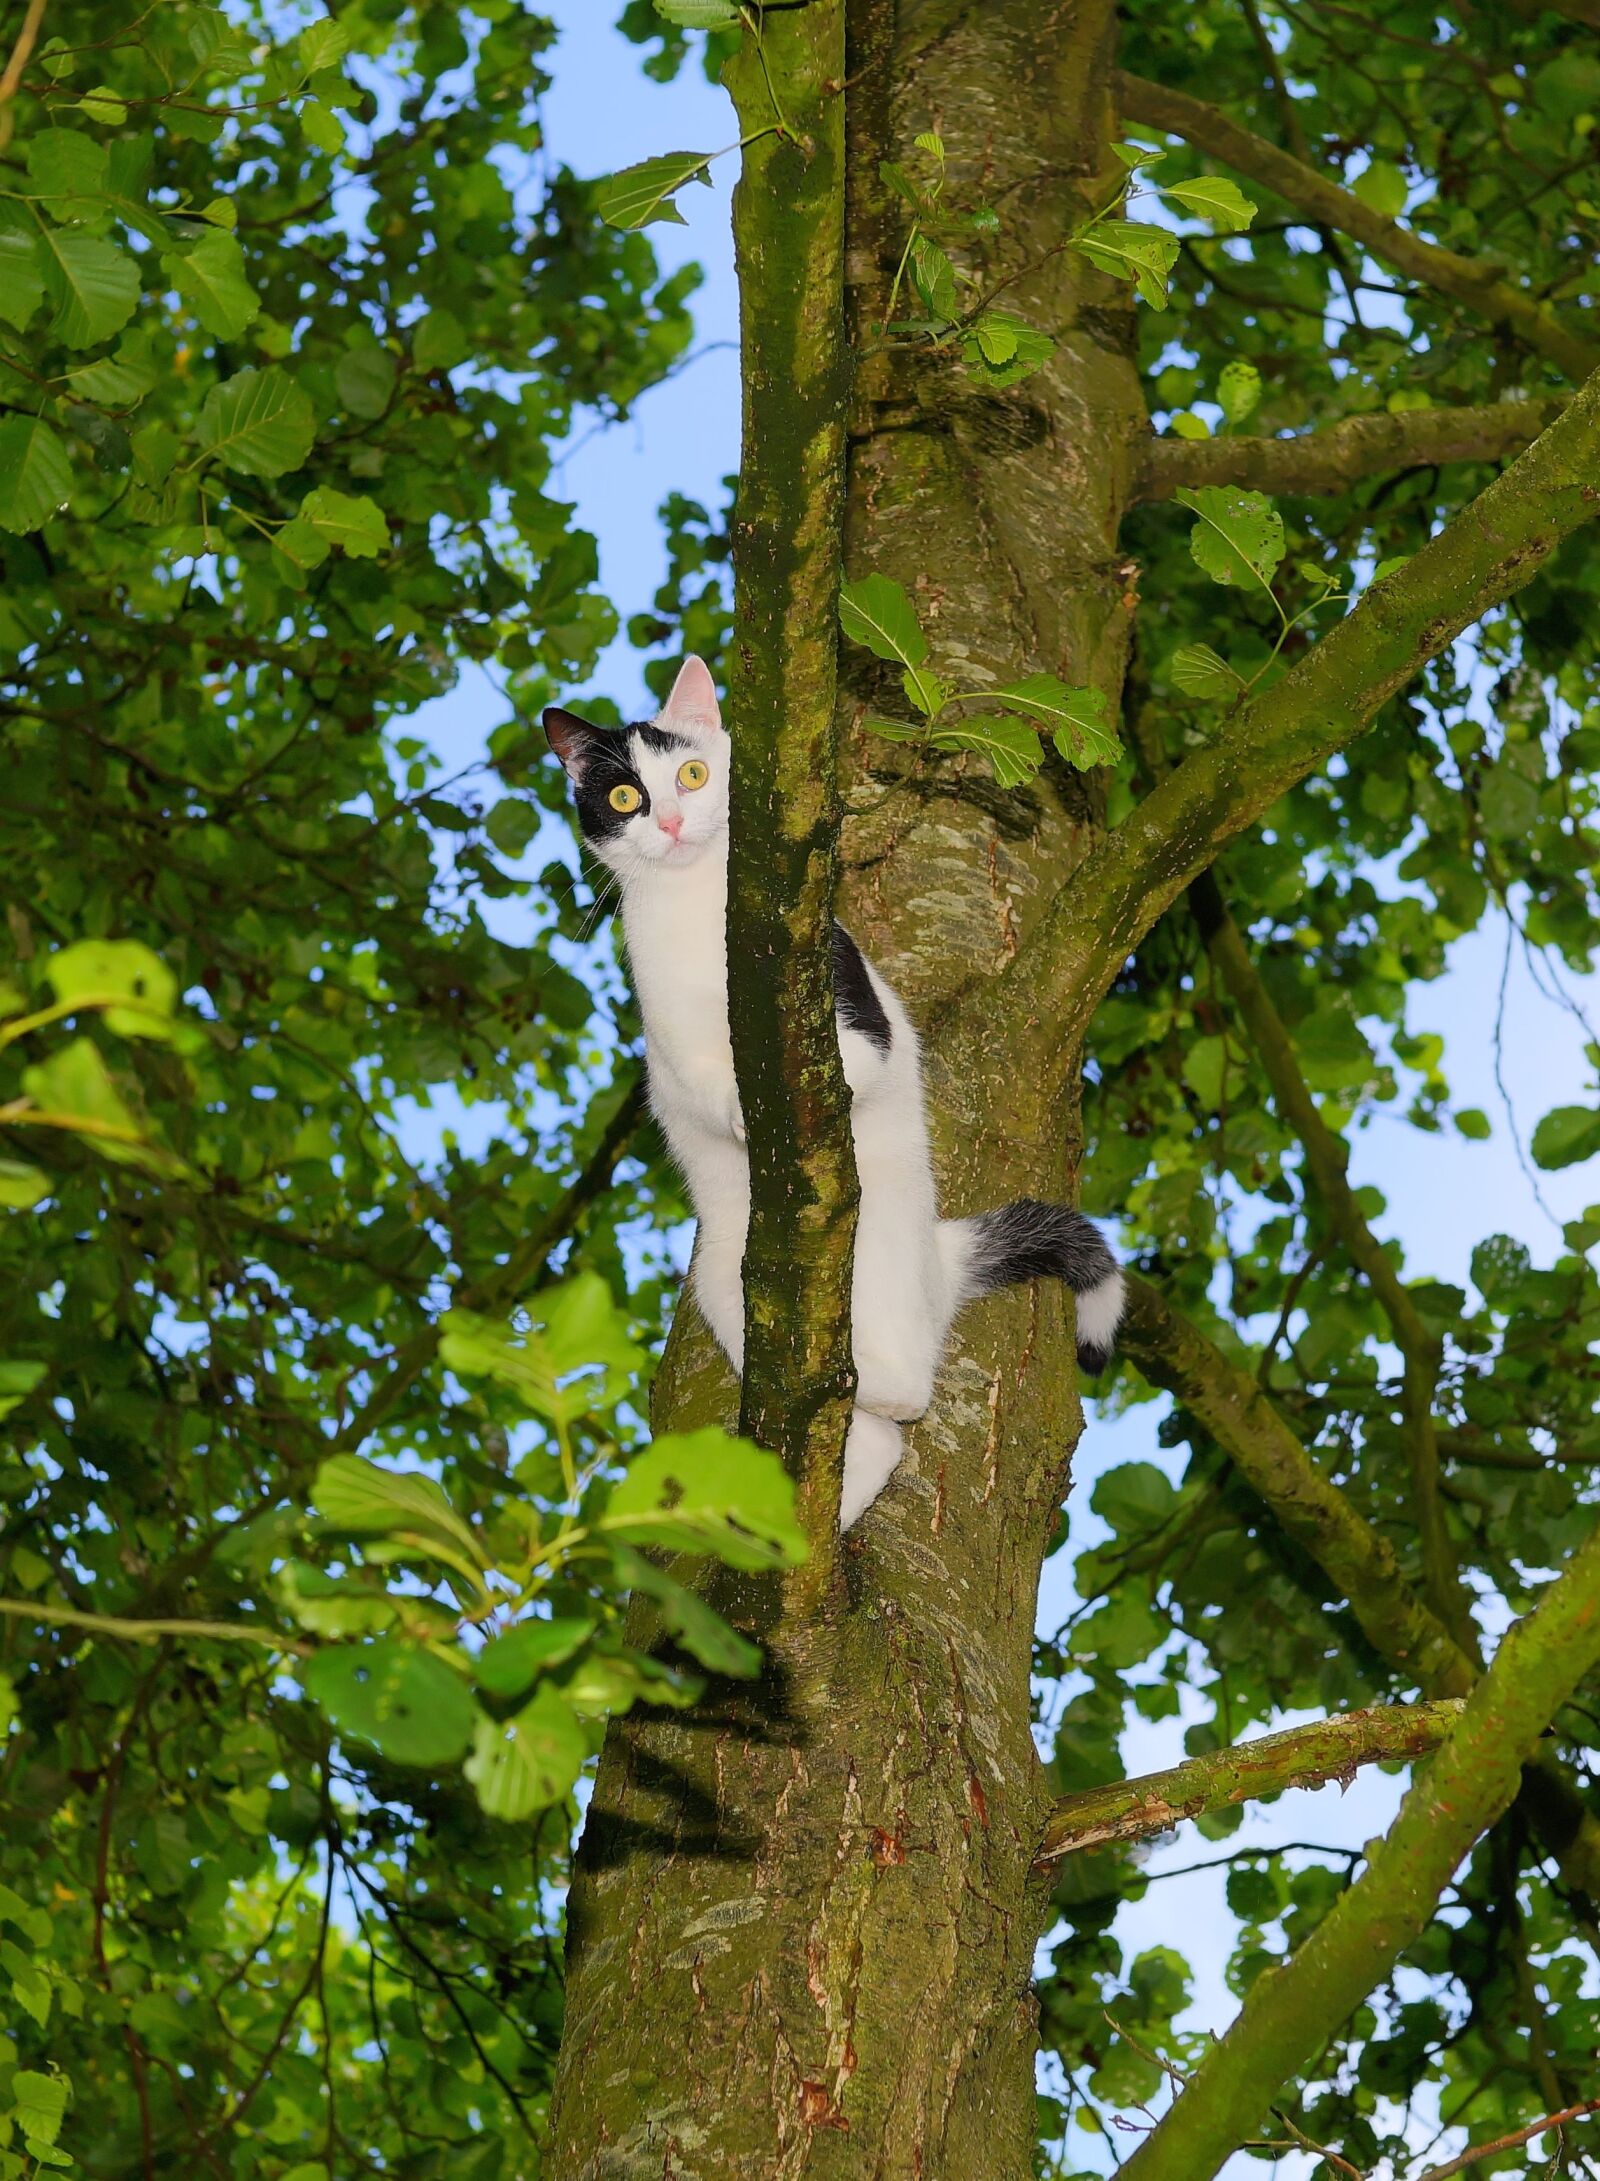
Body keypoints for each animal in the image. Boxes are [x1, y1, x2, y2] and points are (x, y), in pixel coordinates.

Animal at [544, 654, 1124, 1526]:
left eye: (691, 774)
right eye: (623, 797)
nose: (672, 823)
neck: (699, 915)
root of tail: (941, 1259)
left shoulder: (849, 997)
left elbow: (859, 1062)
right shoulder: (671, 1042)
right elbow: (696, 1082)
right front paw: (733, 1109)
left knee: (908, 1390)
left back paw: (880, 1389)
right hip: (723, 1276)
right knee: (874, 1434)